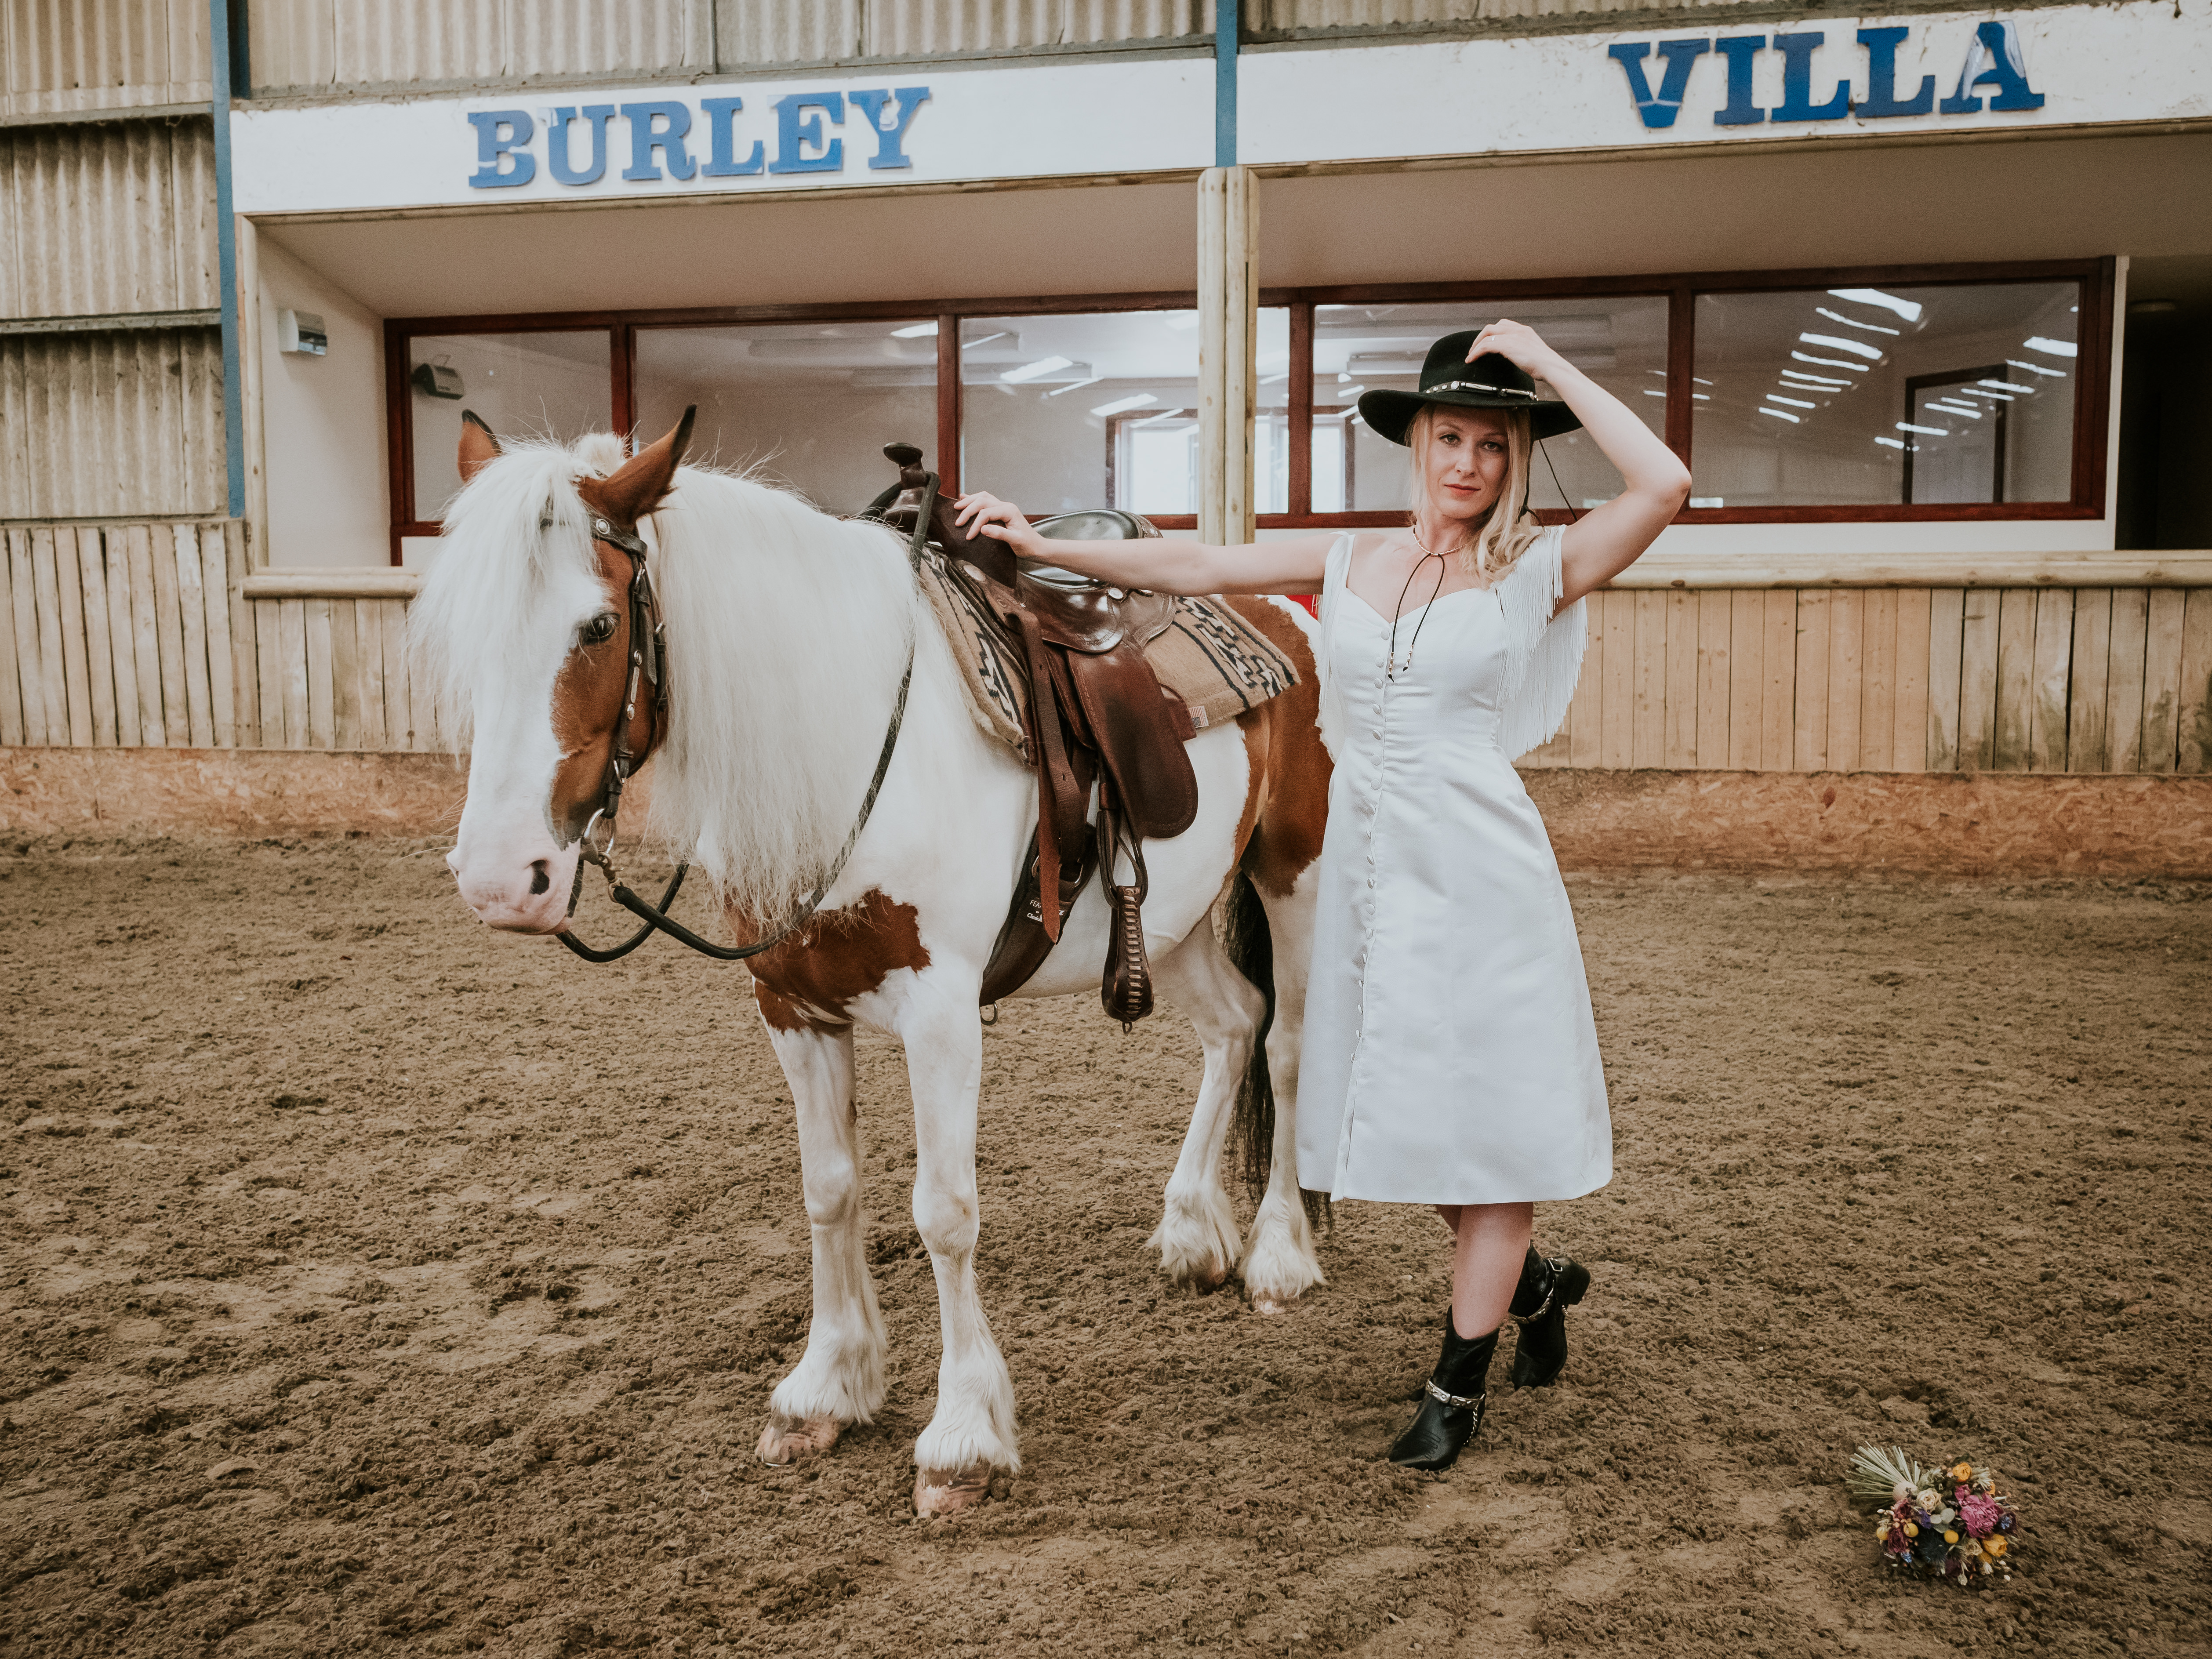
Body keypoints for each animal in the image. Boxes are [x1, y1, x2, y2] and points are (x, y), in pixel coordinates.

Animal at [411, 418, 1327, 1521]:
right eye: (460, 632)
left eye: (596, 627)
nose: (503, 879)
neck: (843, 742)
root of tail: (1279, 602)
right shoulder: (792, 1006)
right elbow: (828, 1188)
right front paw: (827, 1386)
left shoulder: (942, 1015)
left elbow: (944, 1212)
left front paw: (963, 1434)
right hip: (1176, 917)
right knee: (1232, 1025)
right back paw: (1193, 1231)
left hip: (1292, 872)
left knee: (1286, 1043)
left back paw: (1279, 1253)